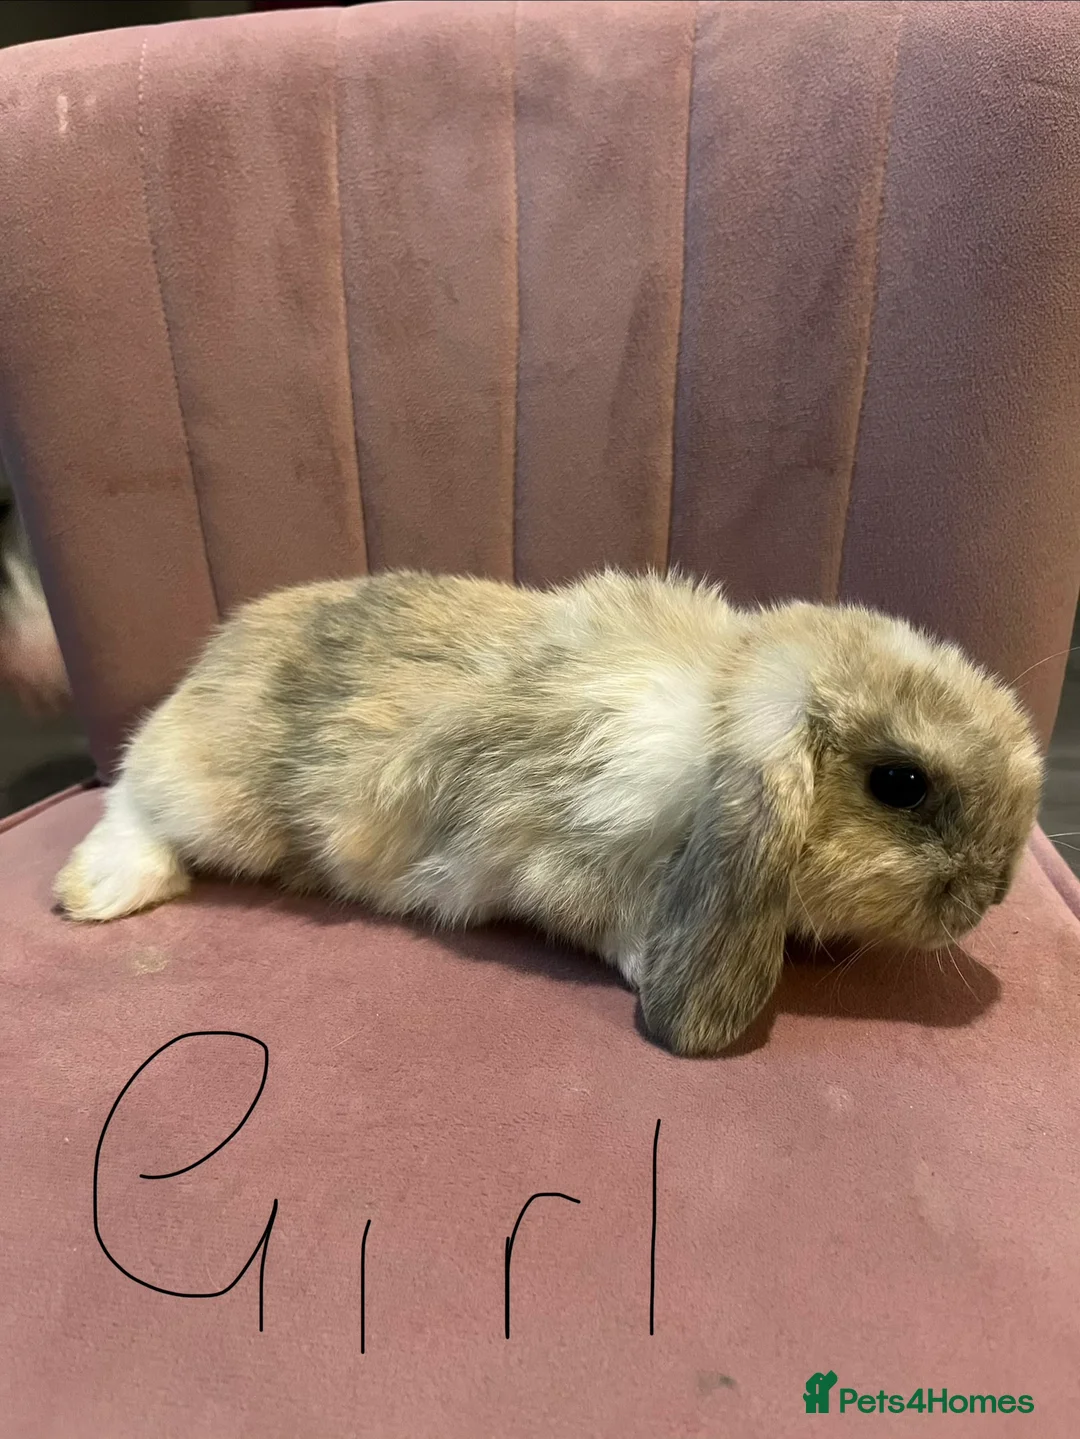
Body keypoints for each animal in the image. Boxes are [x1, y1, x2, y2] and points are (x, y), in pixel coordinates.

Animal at [54, 568, 1044, 1057]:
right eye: (901, 782)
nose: (995, 892)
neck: (718, 713)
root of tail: (209, 661)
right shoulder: (560, 862)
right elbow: (600, 919)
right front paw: (648, 962)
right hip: (211, 794)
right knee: (132, 791)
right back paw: (97, 891)